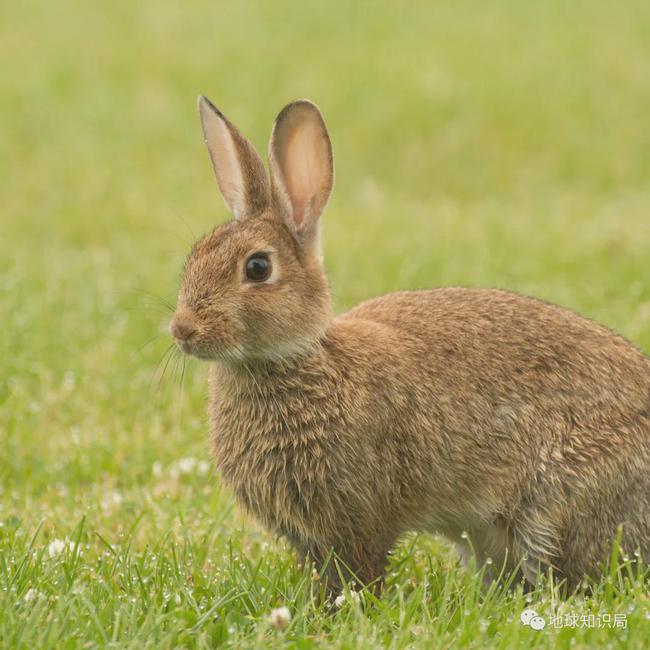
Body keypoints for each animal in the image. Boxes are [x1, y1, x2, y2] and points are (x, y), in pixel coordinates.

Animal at [171, 96, 648, 592]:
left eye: (258, 267)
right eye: (194, 257)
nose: (183, 329)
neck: (302, 359)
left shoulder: (359, 518)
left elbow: (360, 571)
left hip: (555, 507)